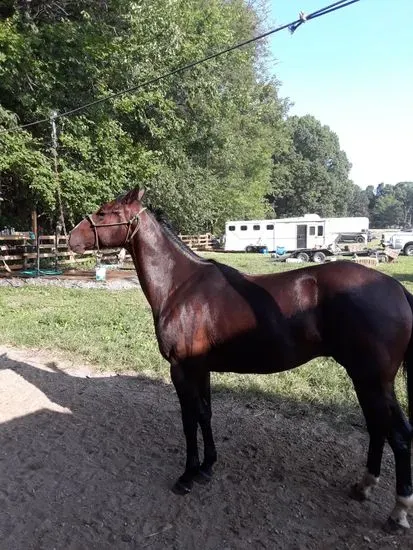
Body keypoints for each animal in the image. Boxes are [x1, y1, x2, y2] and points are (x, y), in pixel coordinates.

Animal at [70, 189, 412, 532]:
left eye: (104, 212)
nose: (71, 238)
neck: (180, 286)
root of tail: (396, 288)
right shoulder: (201, 369)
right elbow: (205, 414)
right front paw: (207, 466)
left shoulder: (181, 369)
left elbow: (188, 420)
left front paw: (188, 475)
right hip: (365, 379)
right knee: (377, 427)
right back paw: (364, 486)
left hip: (373, 380)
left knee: (398, 434)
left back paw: (398, 511)